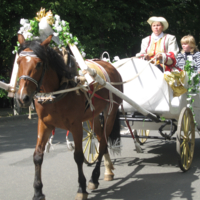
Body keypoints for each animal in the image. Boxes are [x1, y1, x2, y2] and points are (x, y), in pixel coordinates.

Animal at [16, 34, 123, 200]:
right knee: (100, 138)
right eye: (18, 62)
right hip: (92, 116)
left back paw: (94, 177)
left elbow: (78, 156)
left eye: (39, 64)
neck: (58, 91)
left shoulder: (76, 125)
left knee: (103, 143)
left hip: (110, 112)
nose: (23, 98)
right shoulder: (44, 124)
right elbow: (37, 156)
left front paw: (81, 187)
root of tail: (108, 64)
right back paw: (107, 170)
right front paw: (38, 191)